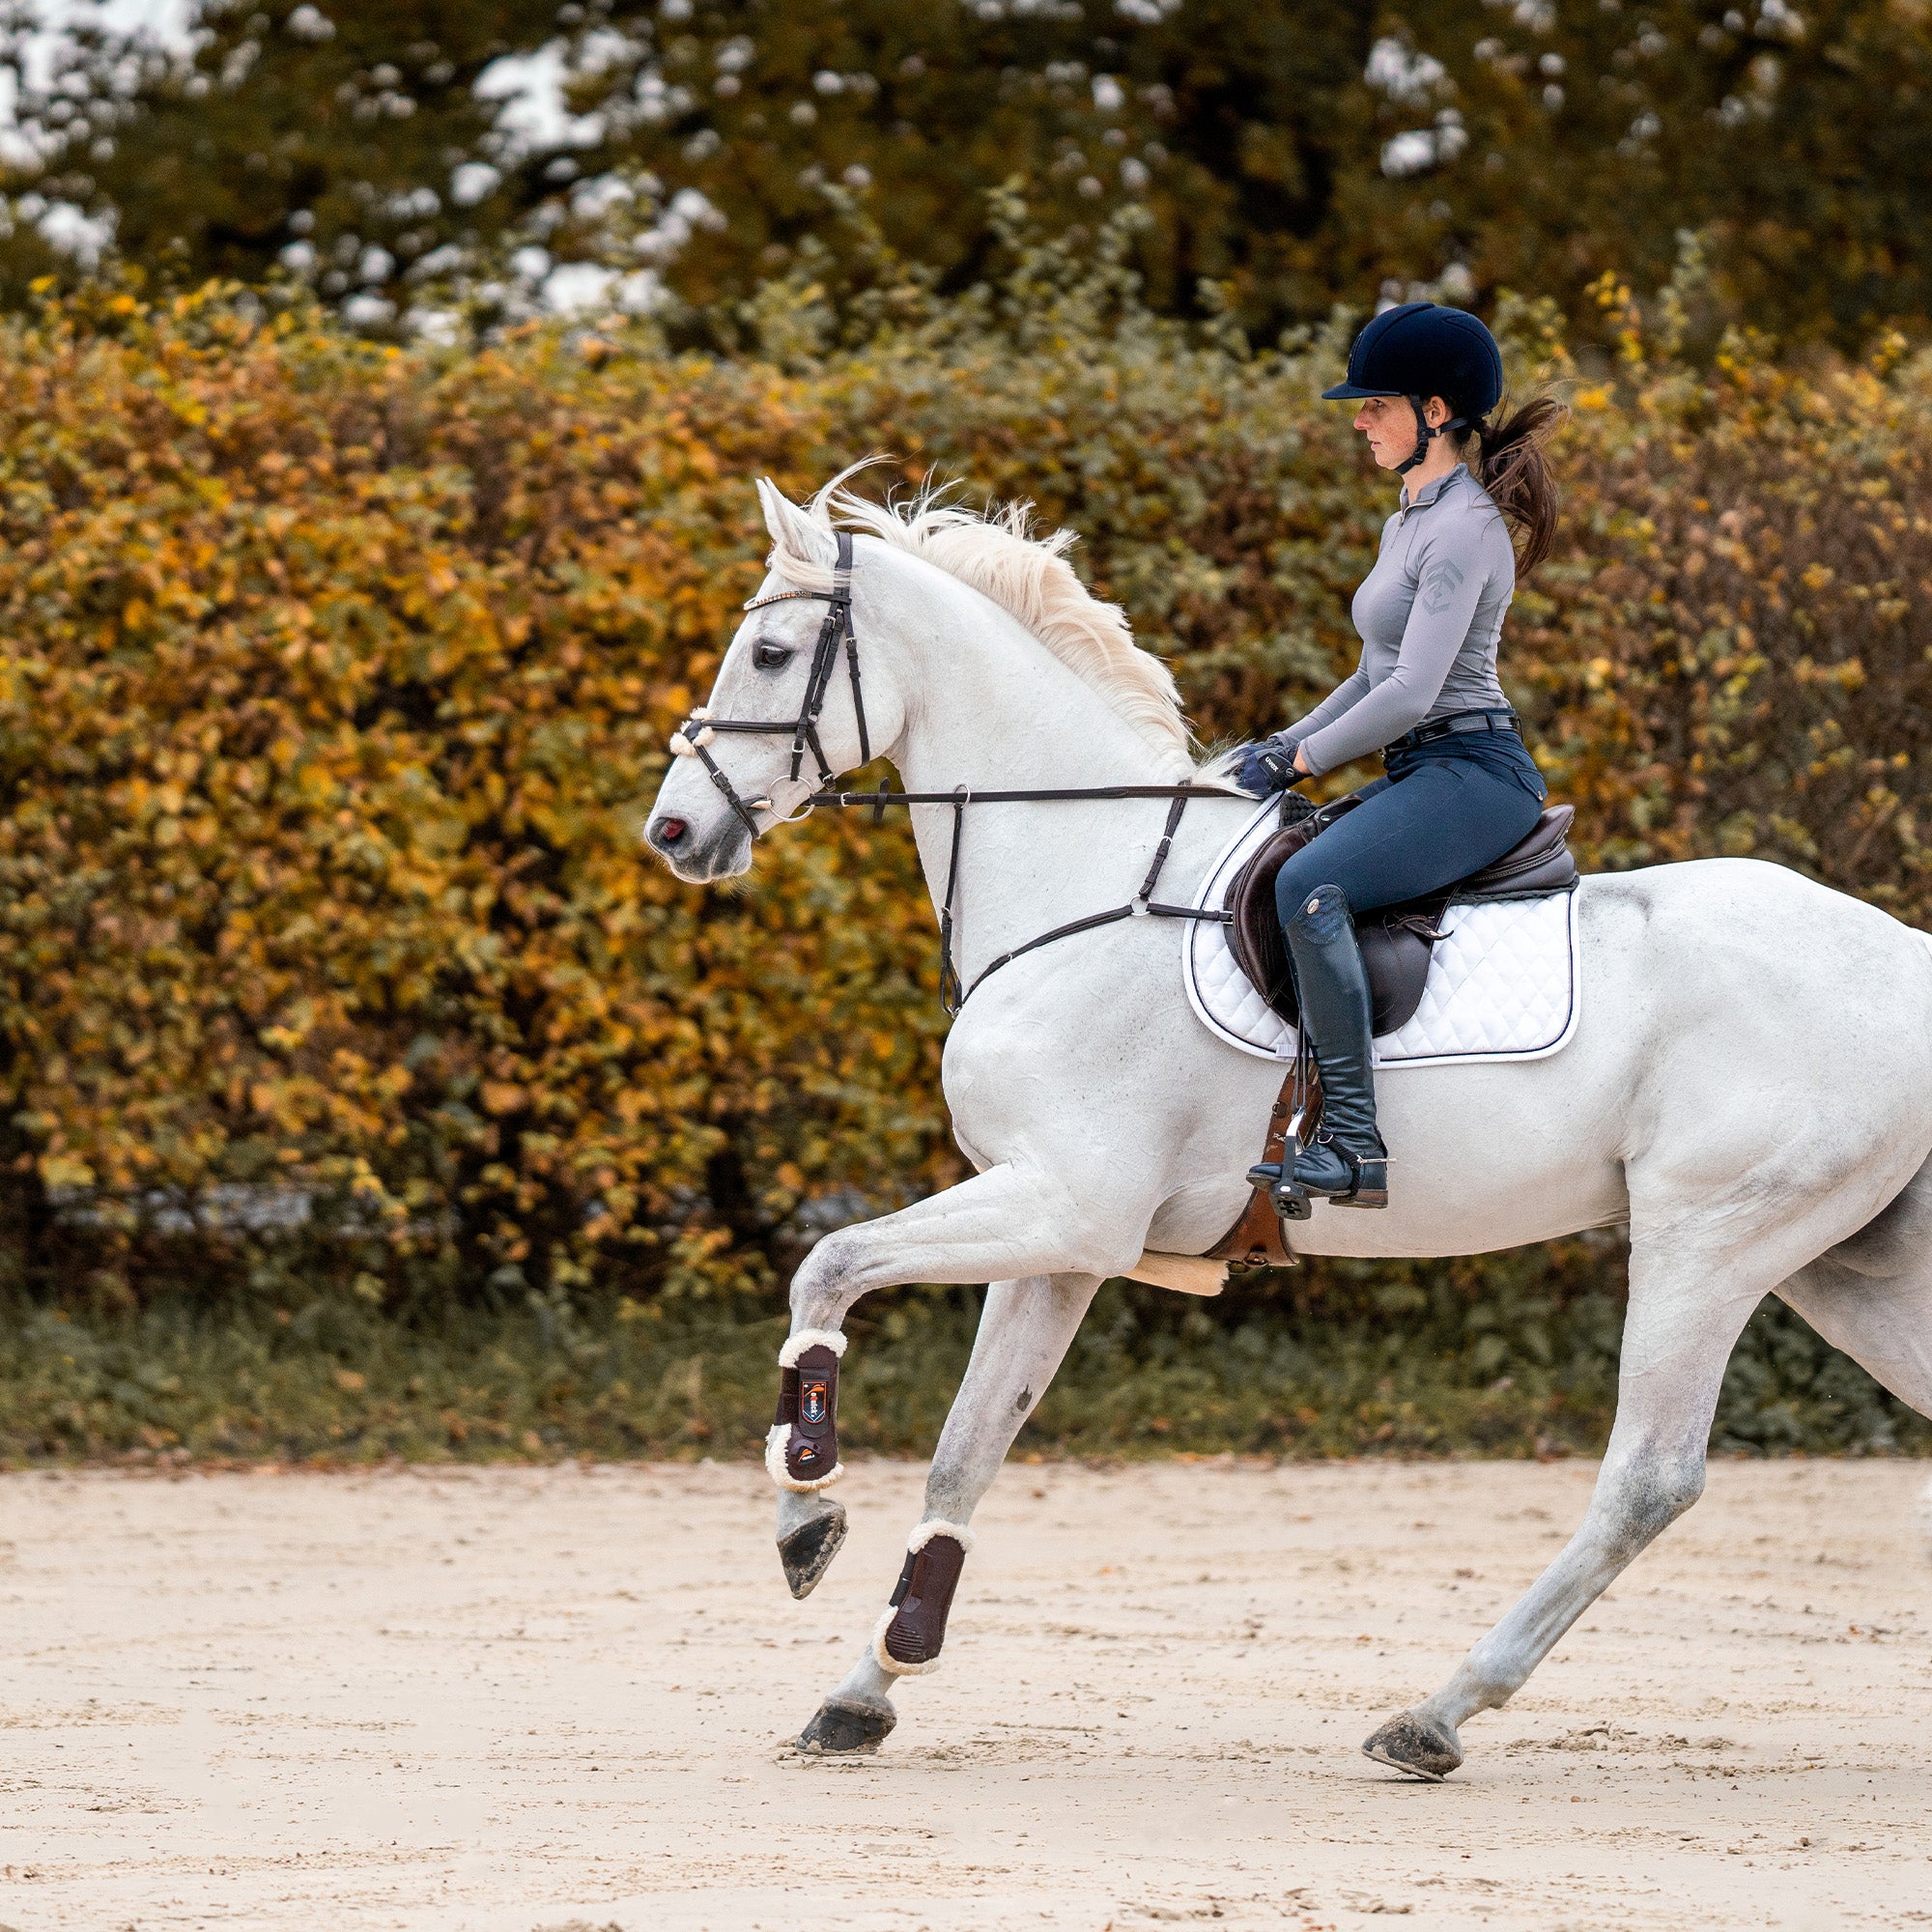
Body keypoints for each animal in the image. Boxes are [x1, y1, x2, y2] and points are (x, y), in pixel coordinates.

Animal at [645, 475, 1932, 1770]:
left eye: (769, 653)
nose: (672, 833)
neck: (1085, 875)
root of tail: (1905, 955)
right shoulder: (1057, 1239)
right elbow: (966, 1448)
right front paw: (869, 1681)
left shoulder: (1066, 1204)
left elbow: (828, 1261)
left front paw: (804, 1498)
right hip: (1844, 1263)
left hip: (1704, 1244)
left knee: (1647, 1477)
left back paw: (1433, 1713)